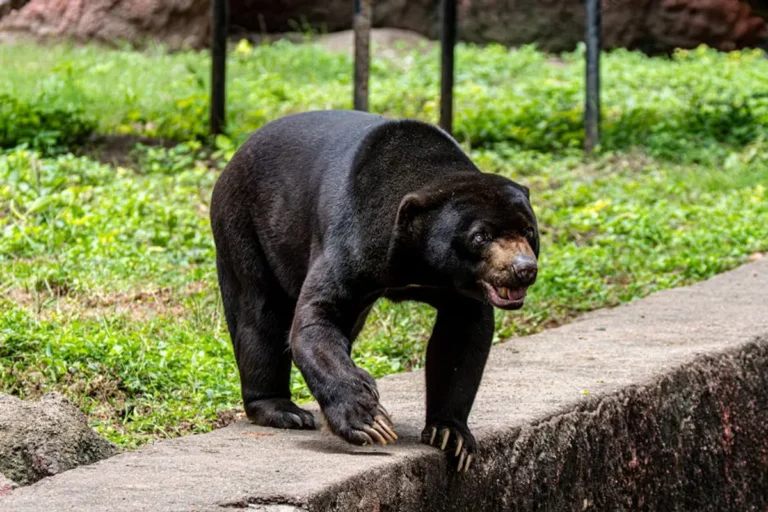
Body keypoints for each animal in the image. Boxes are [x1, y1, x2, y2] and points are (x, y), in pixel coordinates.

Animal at [210, 110, 539, 472]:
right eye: (480, 236)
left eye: (528, 231)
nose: (523, 269)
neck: (417, 264)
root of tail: (234, 156)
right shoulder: (352, 238)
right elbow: (316, 318)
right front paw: (369, 421)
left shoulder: (454, 284)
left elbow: (462, 334)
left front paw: (451, 437)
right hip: (245, 226)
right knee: (261, 315)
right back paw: (284, 410)